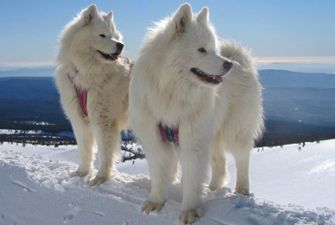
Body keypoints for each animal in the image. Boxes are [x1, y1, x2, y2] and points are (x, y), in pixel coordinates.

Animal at [54, 4, 131, 185]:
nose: (121, 45)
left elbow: (105, 153)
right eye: (103, 35)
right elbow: (85, 149)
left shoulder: (103, 121)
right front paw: (82, 172)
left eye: (115, 36)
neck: (87, 75)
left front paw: (100, 178)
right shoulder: (79, 120)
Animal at [130, 3, 264, 225]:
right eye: (202, 49)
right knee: (220, 164)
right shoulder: (155, 138)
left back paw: (242, 191)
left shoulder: (192, 140)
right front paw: (155, 202)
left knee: (242, 159)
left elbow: (192, 179)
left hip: (236, 129)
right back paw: (213, 189)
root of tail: (239, 58)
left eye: (213, 49)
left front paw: (189, 211)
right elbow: (159, 173)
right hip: (212, 133)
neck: (172, 92)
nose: (228, 65)